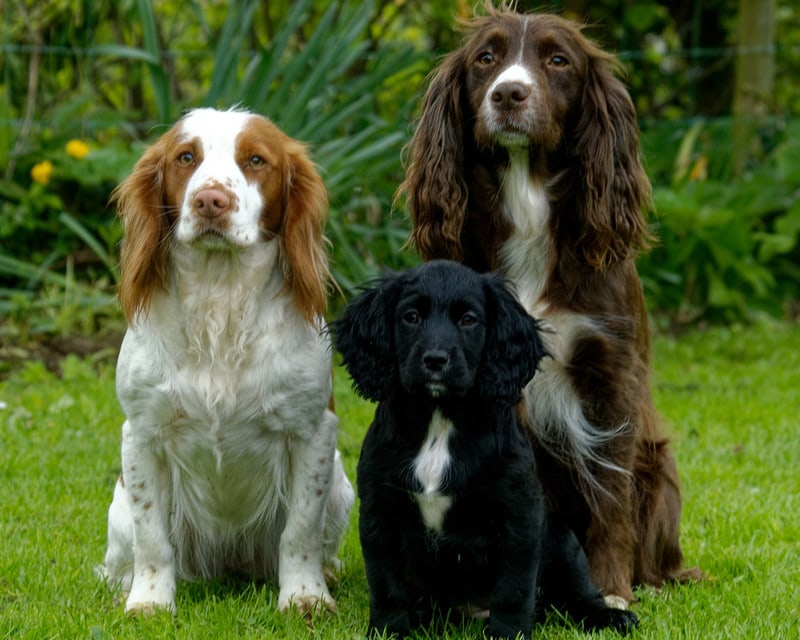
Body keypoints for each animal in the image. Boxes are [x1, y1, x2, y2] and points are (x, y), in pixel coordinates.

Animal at [334, 262, 640, 640]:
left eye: (469, 320)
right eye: (411, 317)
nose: (435, 360)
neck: (439, 420)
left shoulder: (518, 515)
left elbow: (514, 588)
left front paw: (508, 633)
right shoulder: (380, 512)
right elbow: (387, 585)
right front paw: (391, 631)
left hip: (563, 540)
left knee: (580, 593)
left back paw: (611, 616)